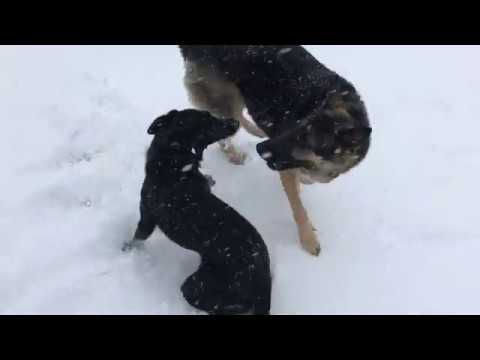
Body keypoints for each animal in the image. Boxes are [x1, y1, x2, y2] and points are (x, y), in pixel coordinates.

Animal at [124, 109, 272, 316]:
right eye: (208, 123)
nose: (235, 122)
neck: (173, 157)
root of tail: (264, 282)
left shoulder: (147, 218)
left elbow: (137, 239)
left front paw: (125, 250)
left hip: (193, 286)